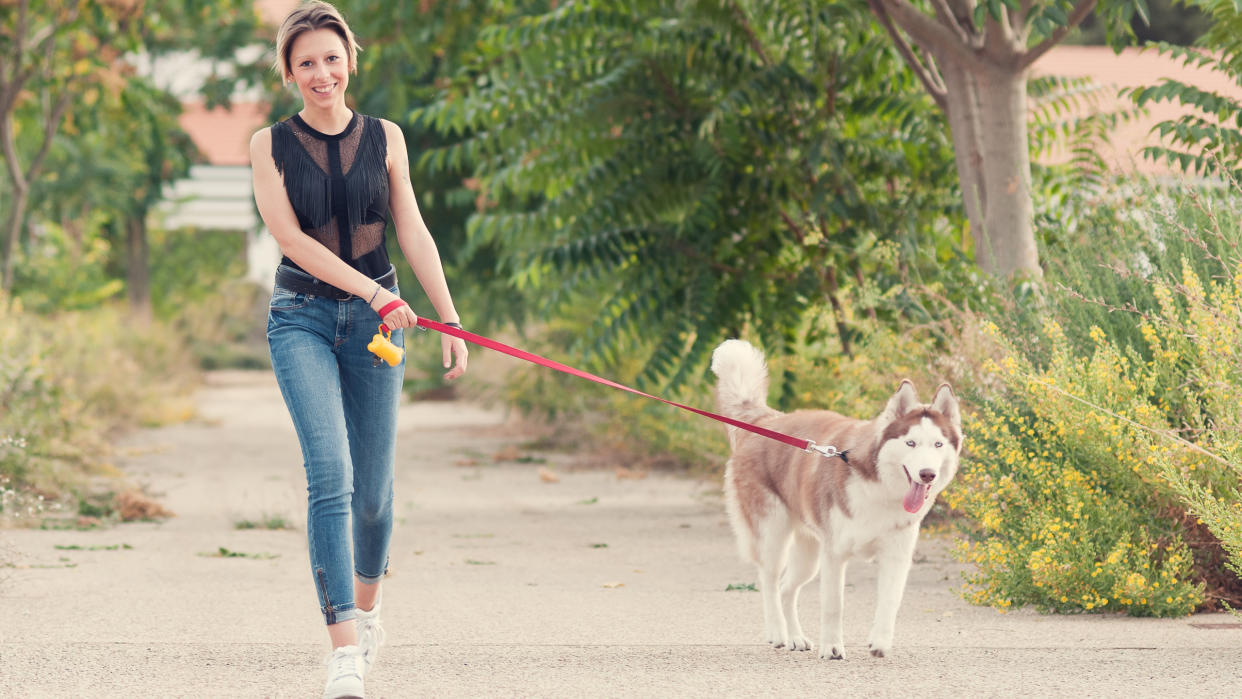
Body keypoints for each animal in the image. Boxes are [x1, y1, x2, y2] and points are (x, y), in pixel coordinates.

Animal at [710, 342, 958, 660]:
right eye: (910, 443)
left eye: (938, 444)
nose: (927, 474)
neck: (880, 490)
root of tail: (767, 419)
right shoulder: (835, 554)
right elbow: (833, 605)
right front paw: (831, 647)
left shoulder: (896, 556)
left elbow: (890, 603)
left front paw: (879, 642)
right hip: (773, 535)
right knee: (769, 580)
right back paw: (777, 632)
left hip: (808, 554)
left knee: (786, 587)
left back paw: (796, 637)